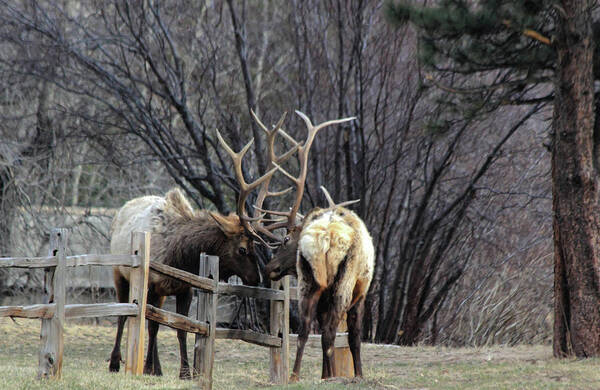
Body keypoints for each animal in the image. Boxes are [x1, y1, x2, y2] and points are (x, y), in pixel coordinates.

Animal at [109, 111, 296, 380]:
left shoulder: (185, 288)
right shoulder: (152, 283)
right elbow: (152, 324)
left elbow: (179, 328)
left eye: (254, 247)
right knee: (123, 316)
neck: (181, 257)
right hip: (120, 273)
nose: (255, 278)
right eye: (242, 249)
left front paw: (182, 371)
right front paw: (148, 368)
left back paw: (156, 366)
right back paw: (115, 362)